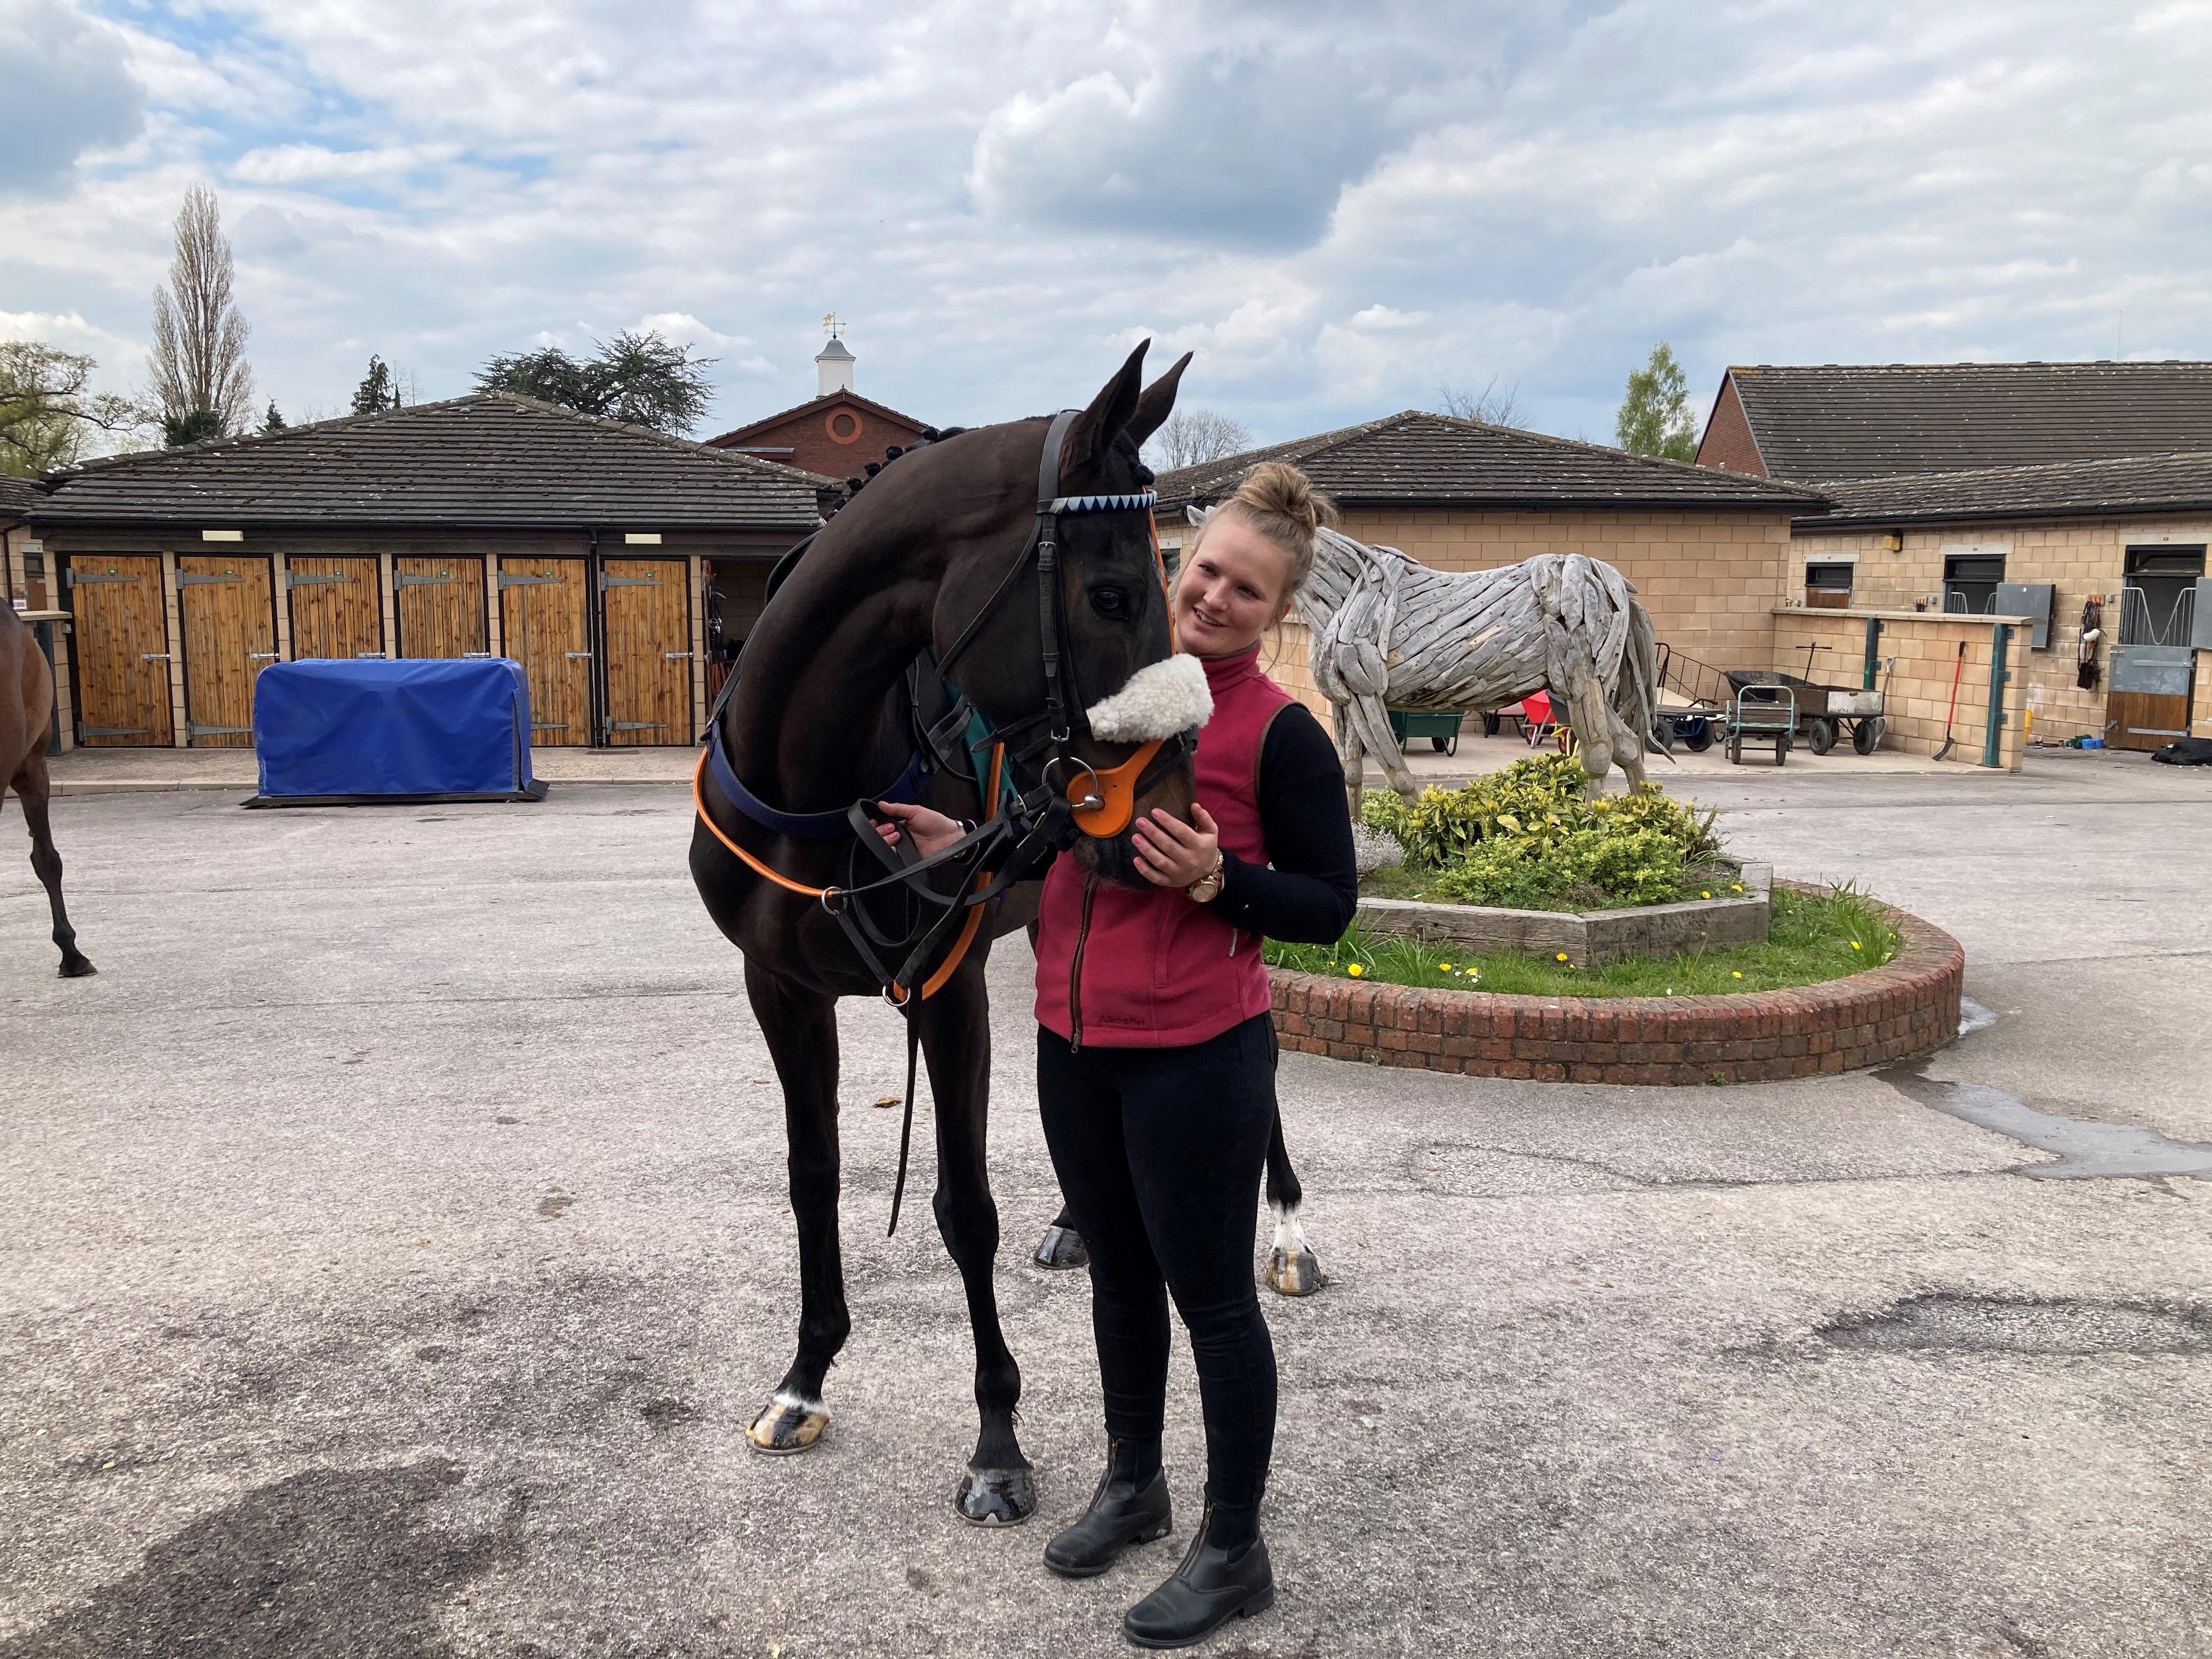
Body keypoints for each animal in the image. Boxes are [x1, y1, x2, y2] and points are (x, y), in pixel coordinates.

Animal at [695, 345, 1212, 1531]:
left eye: (1162, 587)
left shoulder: (945, 985)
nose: (1166, 810)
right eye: (1111, 593)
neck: (815, 777)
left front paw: (997, 1441)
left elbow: (964, 1206)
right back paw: (1076, 1220)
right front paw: (805, 1377)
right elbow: (812, 1174)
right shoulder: (778, 988)